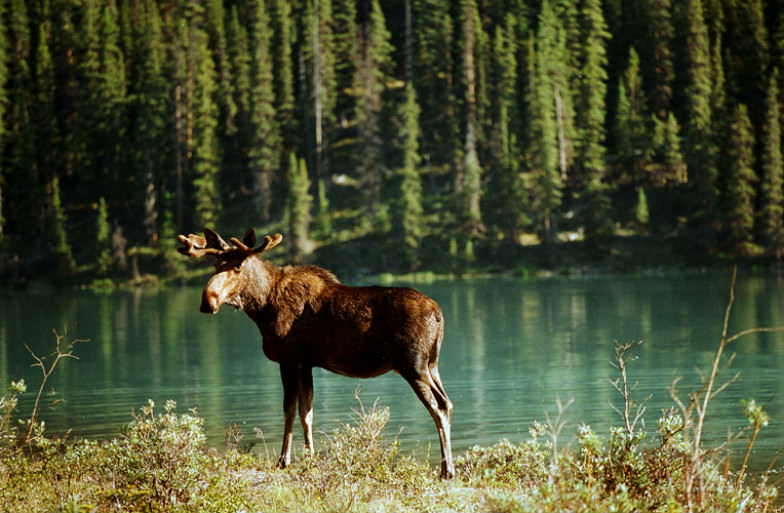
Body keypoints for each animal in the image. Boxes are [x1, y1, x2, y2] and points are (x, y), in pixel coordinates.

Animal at [177, 227, 454, 476]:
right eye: (215, 266)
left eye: (237, 267)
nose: (208, 301)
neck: (262, 307)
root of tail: (438, 314)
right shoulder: (306, 363)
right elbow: (306, 412)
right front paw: (310, 458)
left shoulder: (289, 359)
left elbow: (289, 410)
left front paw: (284, 460)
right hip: (432, 365)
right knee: (448, 403)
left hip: (413, 365)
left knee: (439, 406)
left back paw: (447, 469)